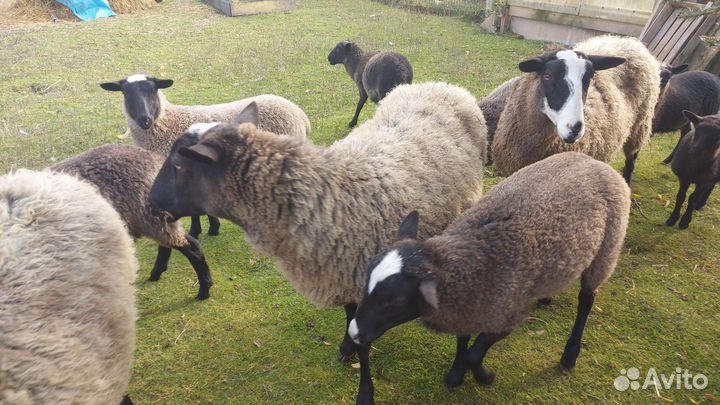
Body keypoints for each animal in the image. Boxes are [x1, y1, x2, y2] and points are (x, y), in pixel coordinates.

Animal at [100, 73, 312, 237]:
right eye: (125, 93)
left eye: (153, 90)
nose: (145, 120)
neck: (166, 123)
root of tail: (301, 116)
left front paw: (200, 230)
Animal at [147, 82, 487, 370]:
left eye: (178, 164)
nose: (150, 200)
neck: (321, 196)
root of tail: (444, 86)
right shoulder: (344, 271)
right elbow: (350, 312)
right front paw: (348, 347)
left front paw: (350, 349)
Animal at [348, 152, 630, 405]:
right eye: (366, 284)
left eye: (395, 300)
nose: (353, 333)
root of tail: (592, 161)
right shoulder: (470, 305)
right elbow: (463, 340)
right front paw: (456, 374)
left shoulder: (507, 316)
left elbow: (473, 355)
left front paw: (484, 377)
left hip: (606, 250)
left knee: (587, 300)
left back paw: (570, 355)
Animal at [492, 35, 661, 184]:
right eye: (547, 76)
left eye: (590, 77)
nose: (575, 128)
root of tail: (632, 43)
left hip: (640, 126)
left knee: (631, 161)